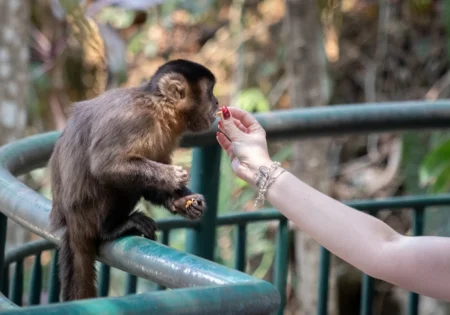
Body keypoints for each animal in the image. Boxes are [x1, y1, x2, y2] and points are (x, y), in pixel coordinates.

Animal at [48, 58, 220, 302]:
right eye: (210, 92)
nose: (217, 101)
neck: (159, 108)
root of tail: (70, 222)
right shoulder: (137, 120)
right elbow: (105, 165)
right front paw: (171, 176)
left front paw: (184, 202)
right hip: (87, 212)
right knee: (119, 184)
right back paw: (111, 229)